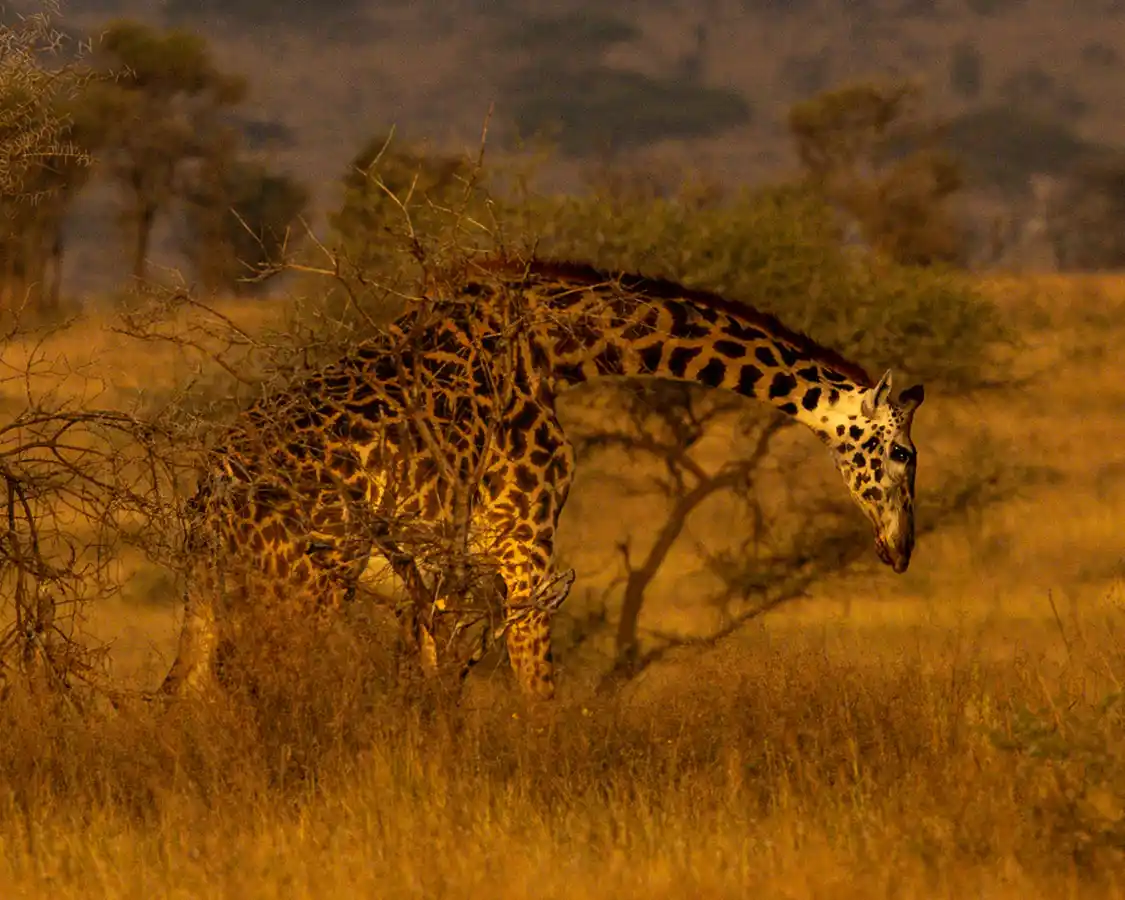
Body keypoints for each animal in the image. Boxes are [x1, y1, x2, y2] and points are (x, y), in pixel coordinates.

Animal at [160, 256, 925, 702]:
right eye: (901, 454)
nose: (901, 549)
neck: (558, 348)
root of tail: (212, 487)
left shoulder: (446, 576)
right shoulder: (523, 546)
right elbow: (538, 692)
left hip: (216, 587)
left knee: (185, 688)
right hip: (301, 583)